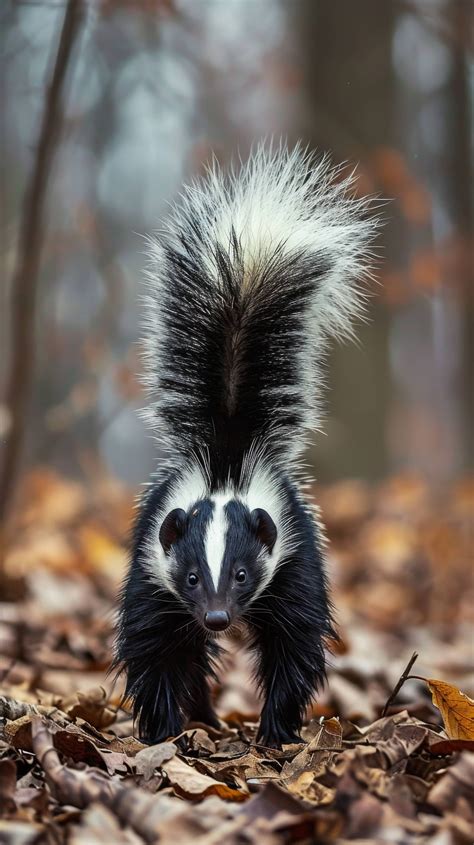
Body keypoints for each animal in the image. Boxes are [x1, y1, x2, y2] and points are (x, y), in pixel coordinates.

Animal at [116, 143, 380, 744]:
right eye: (192, 576)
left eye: (242, 574)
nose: (217, 617)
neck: (226, 466)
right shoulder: (153, 573)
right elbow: (154, 648)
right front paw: (163, 729)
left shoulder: (294, 561)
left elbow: (295, 645)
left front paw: (276, 730)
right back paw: (201, 714)